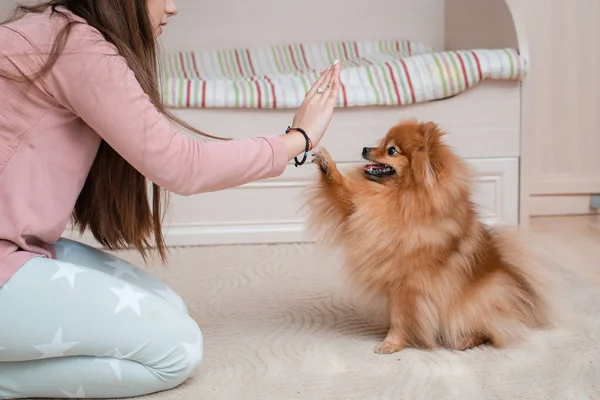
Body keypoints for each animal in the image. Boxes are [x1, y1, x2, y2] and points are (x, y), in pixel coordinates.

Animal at [308, 118, 552, 354]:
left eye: (391, 150)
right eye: (381, 142)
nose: (365, 148)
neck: (401, 198)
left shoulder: (409, 284)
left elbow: (401, 317)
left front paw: (392, 343)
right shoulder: (356, 210)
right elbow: (342, 192)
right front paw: (327, 165)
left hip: (476, 303)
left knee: (492, 330)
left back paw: (466, 340)